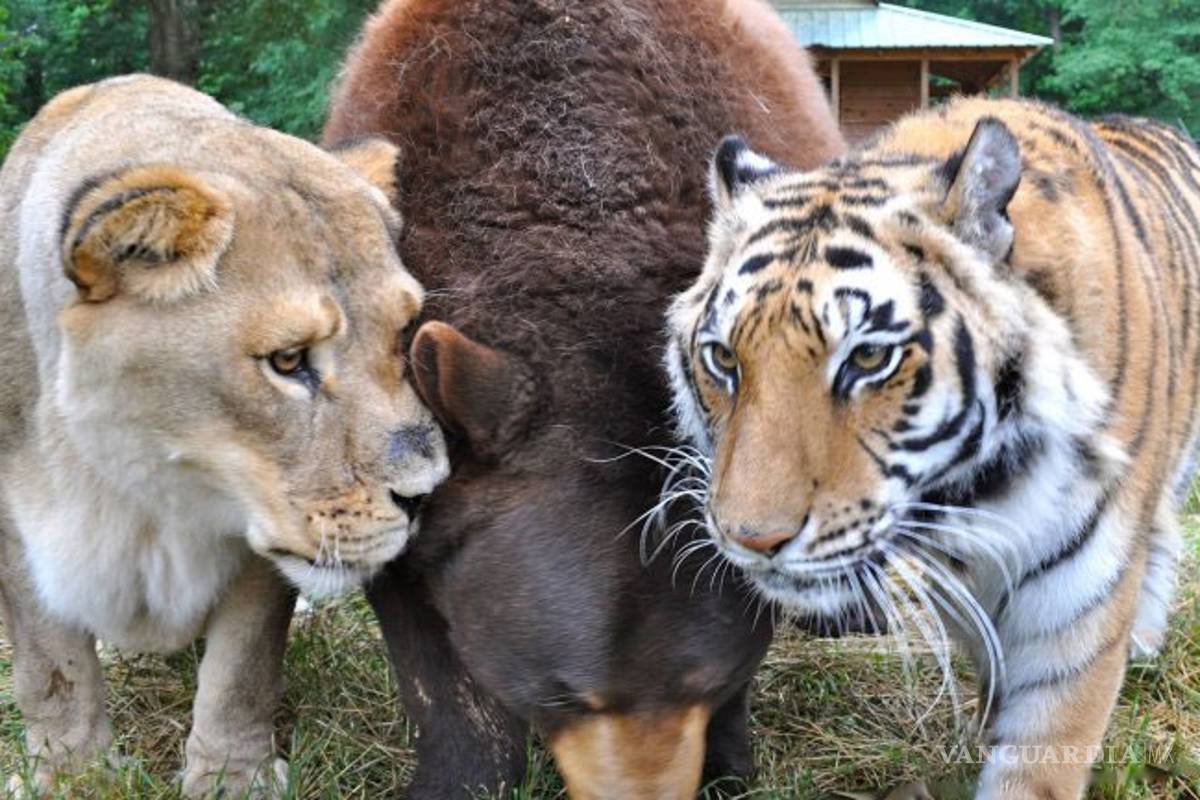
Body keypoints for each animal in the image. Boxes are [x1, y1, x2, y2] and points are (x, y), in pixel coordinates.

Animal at [0, 75, 449, 797]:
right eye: (288, 360)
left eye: (404, 332)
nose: (427, 494)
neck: (149, 486)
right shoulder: (18, 532)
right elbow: (51, 669)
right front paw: (73, 776)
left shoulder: (261, 542)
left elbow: (242, 670)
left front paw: (232, 780)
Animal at [664, 96, 1200, 800]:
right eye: (724, 359)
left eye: (869, 358)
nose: (752, 540)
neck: (977, 492)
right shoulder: (965, 590)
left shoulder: (1075, 609)